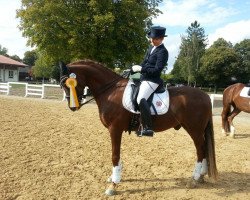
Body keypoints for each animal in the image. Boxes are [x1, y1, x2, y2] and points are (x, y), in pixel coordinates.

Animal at [59, 59, 218, 195]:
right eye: (62, 85)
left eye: (69, 84)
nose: (72, 107)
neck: (111, 91)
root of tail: (205, 95)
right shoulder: (116, 130)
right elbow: (117, 155)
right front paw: (115, 177)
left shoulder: (114, 129)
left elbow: (114, 155)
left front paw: (113, 185)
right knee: (203, 149)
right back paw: (202, 176)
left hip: (194, 130)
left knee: (200, 150)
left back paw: (195, 178)